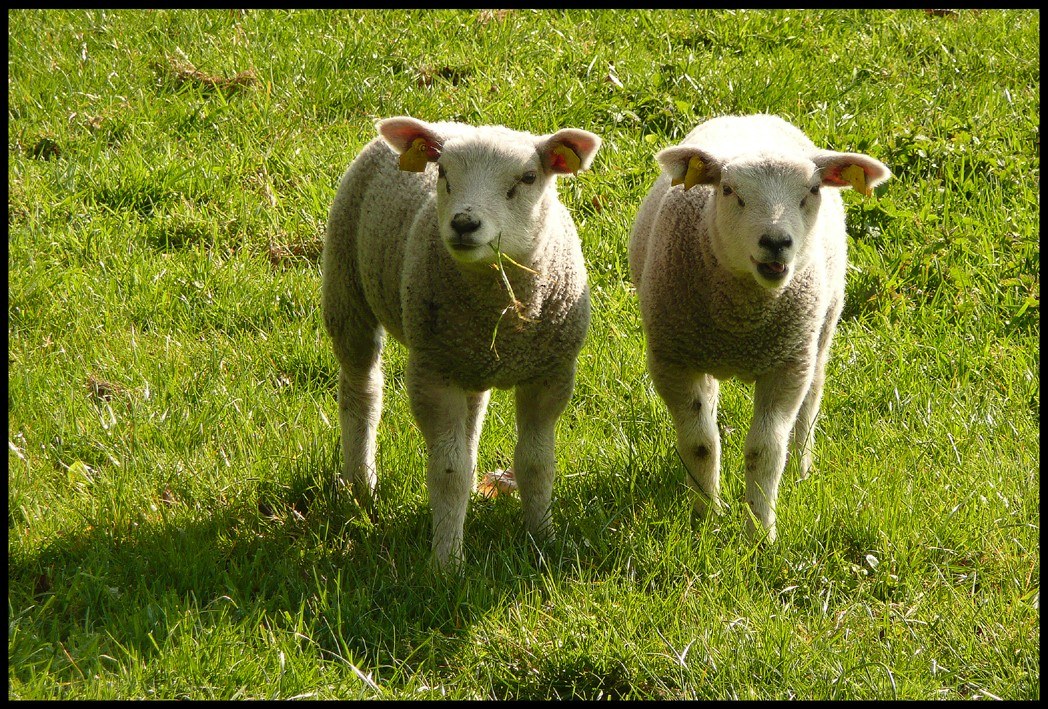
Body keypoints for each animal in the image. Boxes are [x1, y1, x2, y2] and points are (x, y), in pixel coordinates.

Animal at [322, 116, 601, 568]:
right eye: (443, 173)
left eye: (528, 178)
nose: (465, 224)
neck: (500, 310)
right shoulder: (433, 374)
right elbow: (447, 472)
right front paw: (447, 563)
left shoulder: (550, 373)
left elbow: (536, 463)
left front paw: (543, 540)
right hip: (347, 284)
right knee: (361, 390)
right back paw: (362, 485)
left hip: (466, 358)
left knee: (471, 422)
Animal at [629, 114, 891, 543]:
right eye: (729, 190)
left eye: (813, 190)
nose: (776, 241)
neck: (743, 324)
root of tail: (751, 116)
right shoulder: (672, 359)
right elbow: (700, 443)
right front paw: (705, 518)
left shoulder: (786, 365)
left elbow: (765, 450)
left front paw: (760, 534)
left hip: (820, 331)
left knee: (810, 401)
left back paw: (802, 468)